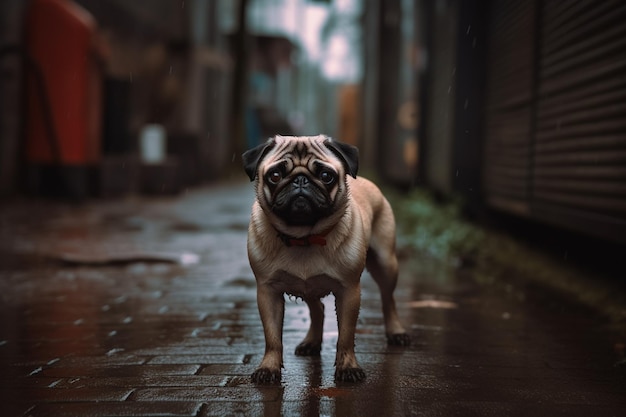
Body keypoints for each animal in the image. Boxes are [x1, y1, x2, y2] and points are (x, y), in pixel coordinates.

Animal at [240, 134, 410, 384]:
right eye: (275, 175)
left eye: (326, 176)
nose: (300, 181)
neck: (304, 237)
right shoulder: (267, 292)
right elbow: (272, 337)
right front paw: (268, 367)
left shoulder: (349, 291)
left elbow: (346, 336)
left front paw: (348, 367)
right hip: (308, 287)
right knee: (317, 308)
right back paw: (311, 342)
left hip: (386, 264)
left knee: (388, 299)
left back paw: (396, 332)